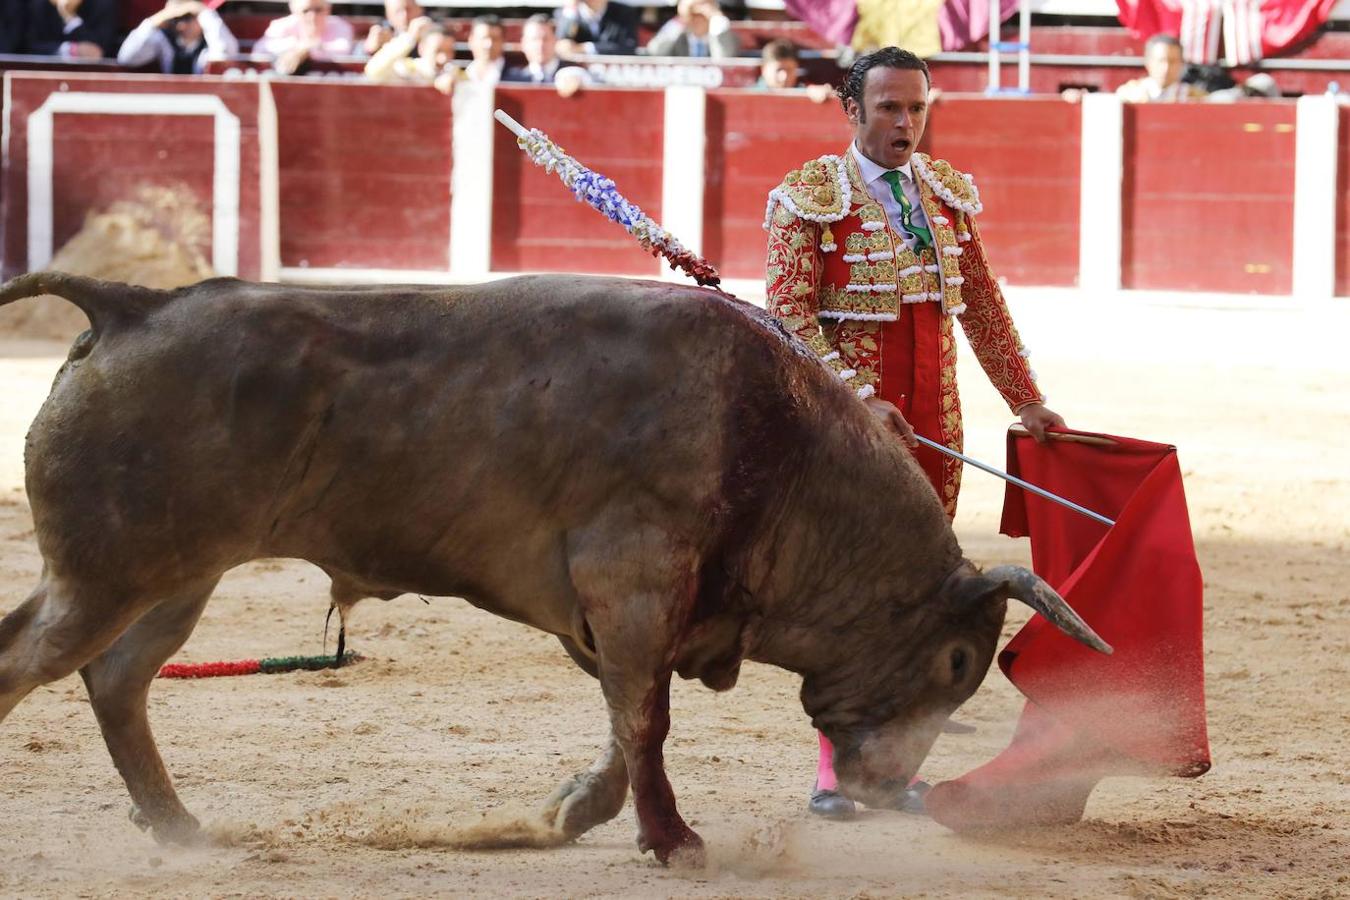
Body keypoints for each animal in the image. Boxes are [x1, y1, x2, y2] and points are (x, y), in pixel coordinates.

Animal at [0, 272, 1107, 863]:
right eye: (958, 664)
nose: (887, 792)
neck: (779, 441)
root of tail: (132, 305)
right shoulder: (634, 585)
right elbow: (645, 720)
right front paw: (675, 841)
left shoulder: (627, 614)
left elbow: (627, 722)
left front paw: (576, 813)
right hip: (107, 576)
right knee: (32, 662)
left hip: (169, 580)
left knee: (118, 678)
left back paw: (177, 825)